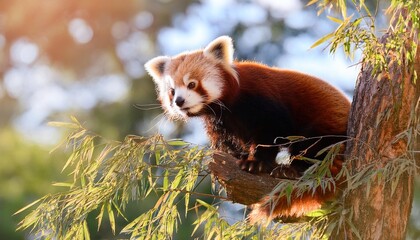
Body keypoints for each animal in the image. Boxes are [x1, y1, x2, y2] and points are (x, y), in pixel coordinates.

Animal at [144, 35, 352, 223]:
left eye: (192, 84)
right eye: (172, 91)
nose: (179, 101)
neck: (228, 104)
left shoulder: (261, 99)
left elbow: (272, 132)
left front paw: (255, 162)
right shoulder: (220, 122)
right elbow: (227, 143)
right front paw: (237, 157)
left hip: (325, 127)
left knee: (313, 147)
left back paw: (293, 169)